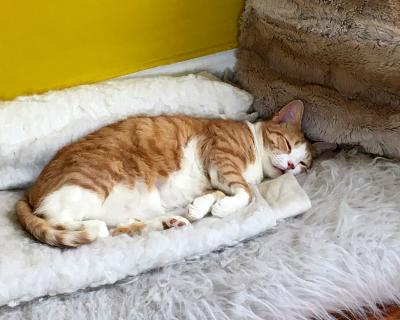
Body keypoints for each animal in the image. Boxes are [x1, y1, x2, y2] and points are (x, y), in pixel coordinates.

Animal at [16, 100, 312, 248]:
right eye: (287, 145)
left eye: (303, 164)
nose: (290, 167)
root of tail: (30, 190)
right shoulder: (220, 155)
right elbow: (247, 192)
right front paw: (224, 206)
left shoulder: (217, 177)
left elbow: (217, 193)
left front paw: (202, 207)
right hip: (90, 186)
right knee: (63, 220)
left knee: (119, 228)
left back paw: (169, 222)